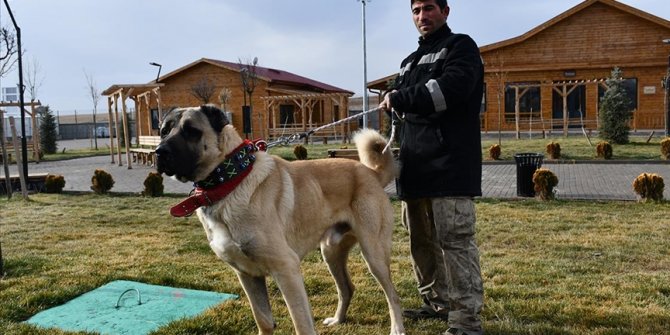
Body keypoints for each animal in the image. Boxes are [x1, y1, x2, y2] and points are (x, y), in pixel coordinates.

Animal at [156, 106, 406, 335]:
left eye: (192, 131)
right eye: (164, 131)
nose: (159, 152)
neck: (230, 180)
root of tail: (371, 173)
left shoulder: (286, 269)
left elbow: (302, 325)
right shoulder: (248, 275)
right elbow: (264, 320)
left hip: (374, 254)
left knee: (393, 295)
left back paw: (397, 329)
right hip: (331, 251)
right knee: (347, 288)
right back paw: (338, 320)